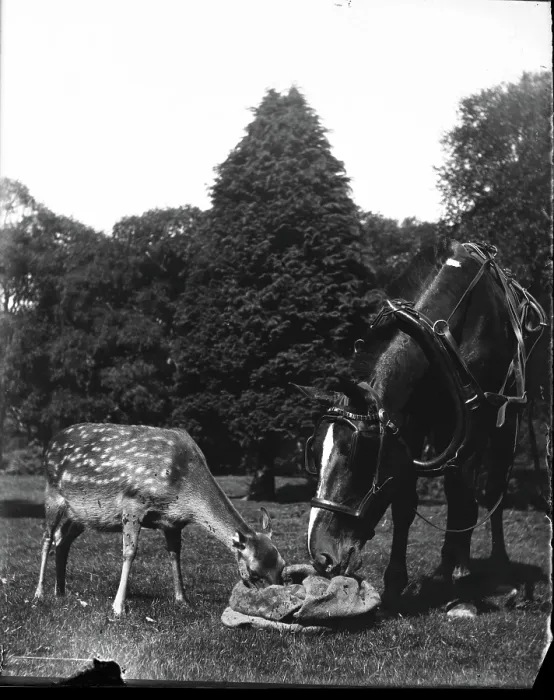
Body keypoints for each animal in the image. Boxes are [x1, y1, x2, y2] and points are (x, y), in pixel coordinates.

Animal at [33, 423, 286, 616]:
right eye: (254, 572)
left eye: (283, 565)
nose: (279, 600)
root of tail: (50, 444)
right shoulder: (133, 503)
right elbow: (129, 552)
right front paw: (118, 607)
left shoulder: (173, 523)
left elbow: (175, 555)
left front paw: (182, 599)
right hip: (52, 496)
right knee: (46, 539)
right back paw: (40, 594)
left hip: (80, 516)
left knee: (62, 541)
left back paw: (61, 591)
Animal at [293, 239, 547, 612]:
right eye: (313, 453)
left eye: (359, 454)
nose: (322, 555)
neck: (438, 331)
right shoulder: (406, 427)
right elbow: (404, 503)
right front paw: (395, 583)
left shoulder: (478, 421)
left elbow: (466, 499)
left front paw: (462, 591)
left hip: (506, 420)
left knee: (491, 492)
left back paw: (494, 571)